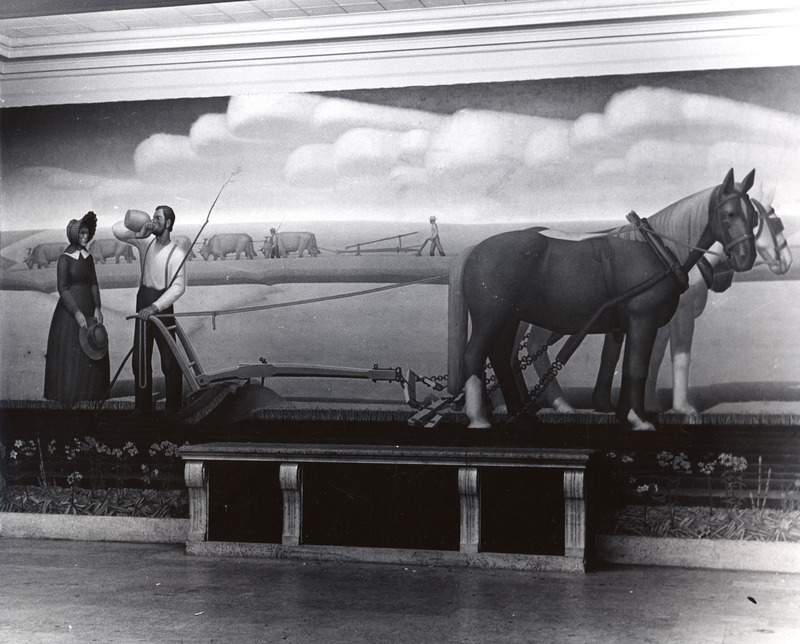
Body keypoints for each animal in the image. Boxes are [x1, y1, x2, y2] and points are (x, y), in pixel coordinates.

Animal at [462, 169, 756, 430]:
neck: (659, 250)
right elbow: (637, 367)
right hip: (491, 318)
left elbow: (627, 366)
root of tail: (476, 250)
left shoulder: (631, 325)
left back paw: (522, 416)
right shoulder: (642, 319)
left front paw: (627, 414)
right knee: (474, 354)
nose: (746, 258)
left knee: (500, 357)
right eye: (729, 214)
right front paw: (639, 420)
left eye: (753, 216)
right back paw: (478, 419)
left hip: (511, 318)